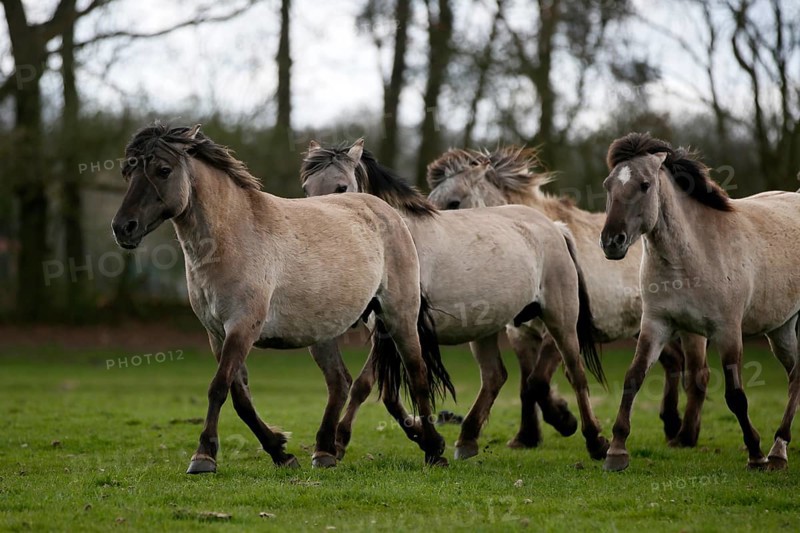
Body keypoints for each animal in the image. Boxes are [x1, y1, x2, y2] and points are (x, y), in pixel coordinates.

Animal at [111, 123, 454, 472]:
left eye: (163, 170)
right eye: (129, 171)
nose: (123, 228)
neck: (234, 235)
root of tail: (386, 212)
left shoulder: (243, 327)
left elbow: (219, 388)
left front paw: (203, 456)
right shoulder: (217, 334)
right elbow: (240, 396)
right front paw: (280, 451)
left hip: (398, 316)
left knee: (416, 373)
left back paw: (433, 447)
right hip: (323, 332)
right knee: (339, 382)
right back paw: (326, 451)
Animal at [300, 139, 610, 461]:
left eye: (341, 187)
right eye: (307, 189)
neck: (400, 236)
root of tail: (555, 227)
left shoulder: (401, 324)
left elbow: (370, 385)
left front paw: (341, 441)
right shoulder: (387, 331)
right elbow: (382, 391)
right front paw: (411, 435)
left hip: (560, 319)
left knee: (576, 373)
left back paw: (592, 439)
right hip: (487, 327)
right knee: (495, 376)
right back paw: (468, 440)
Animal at [426, 147, 703, 448]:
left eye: (454, 201)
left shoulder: (558, 328)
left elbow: (537, 382)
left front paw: (564, 419)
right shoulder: (521, 333)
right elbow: (526, 385)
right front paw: (526, 437)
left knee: (697, 374)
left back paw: (686, 435)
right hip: (646, 328)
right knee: (674, 362)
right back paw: (671, 424)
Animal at [600, 132, 800, 471]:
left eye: (644, 184)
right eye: (608, 184)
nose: (612, 241)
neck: (694, 254)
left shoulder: (728, 332)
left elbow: (735, 395)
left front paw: (755, 453)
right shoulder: (656, 325)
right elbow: (633, 377)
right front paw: (616, 450)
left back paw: (774, 451)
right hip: (781, 328)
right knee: (795, 374)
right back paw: (779, 449)